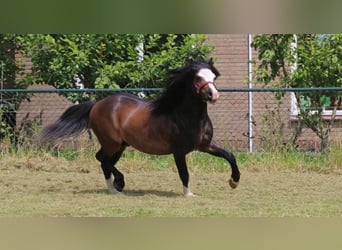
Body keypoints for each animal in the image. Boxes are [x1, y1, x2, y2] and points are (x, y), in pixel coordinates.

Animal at [40, 59, 240, 196]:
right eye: (198, 77)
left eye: (213, 76)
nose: (213, 95)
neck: (187, 116)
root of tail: (96, 104)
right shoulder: (179, 151)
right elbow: (184, 173)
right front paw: (189, 194)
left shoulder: (204, 146)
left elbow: (229, 155)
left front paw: (234, 181)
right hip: (112, 142)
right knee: (102, 159)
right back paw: (118, 184)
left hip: (120, 145)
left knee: (105, 161)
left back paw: (114, 188)